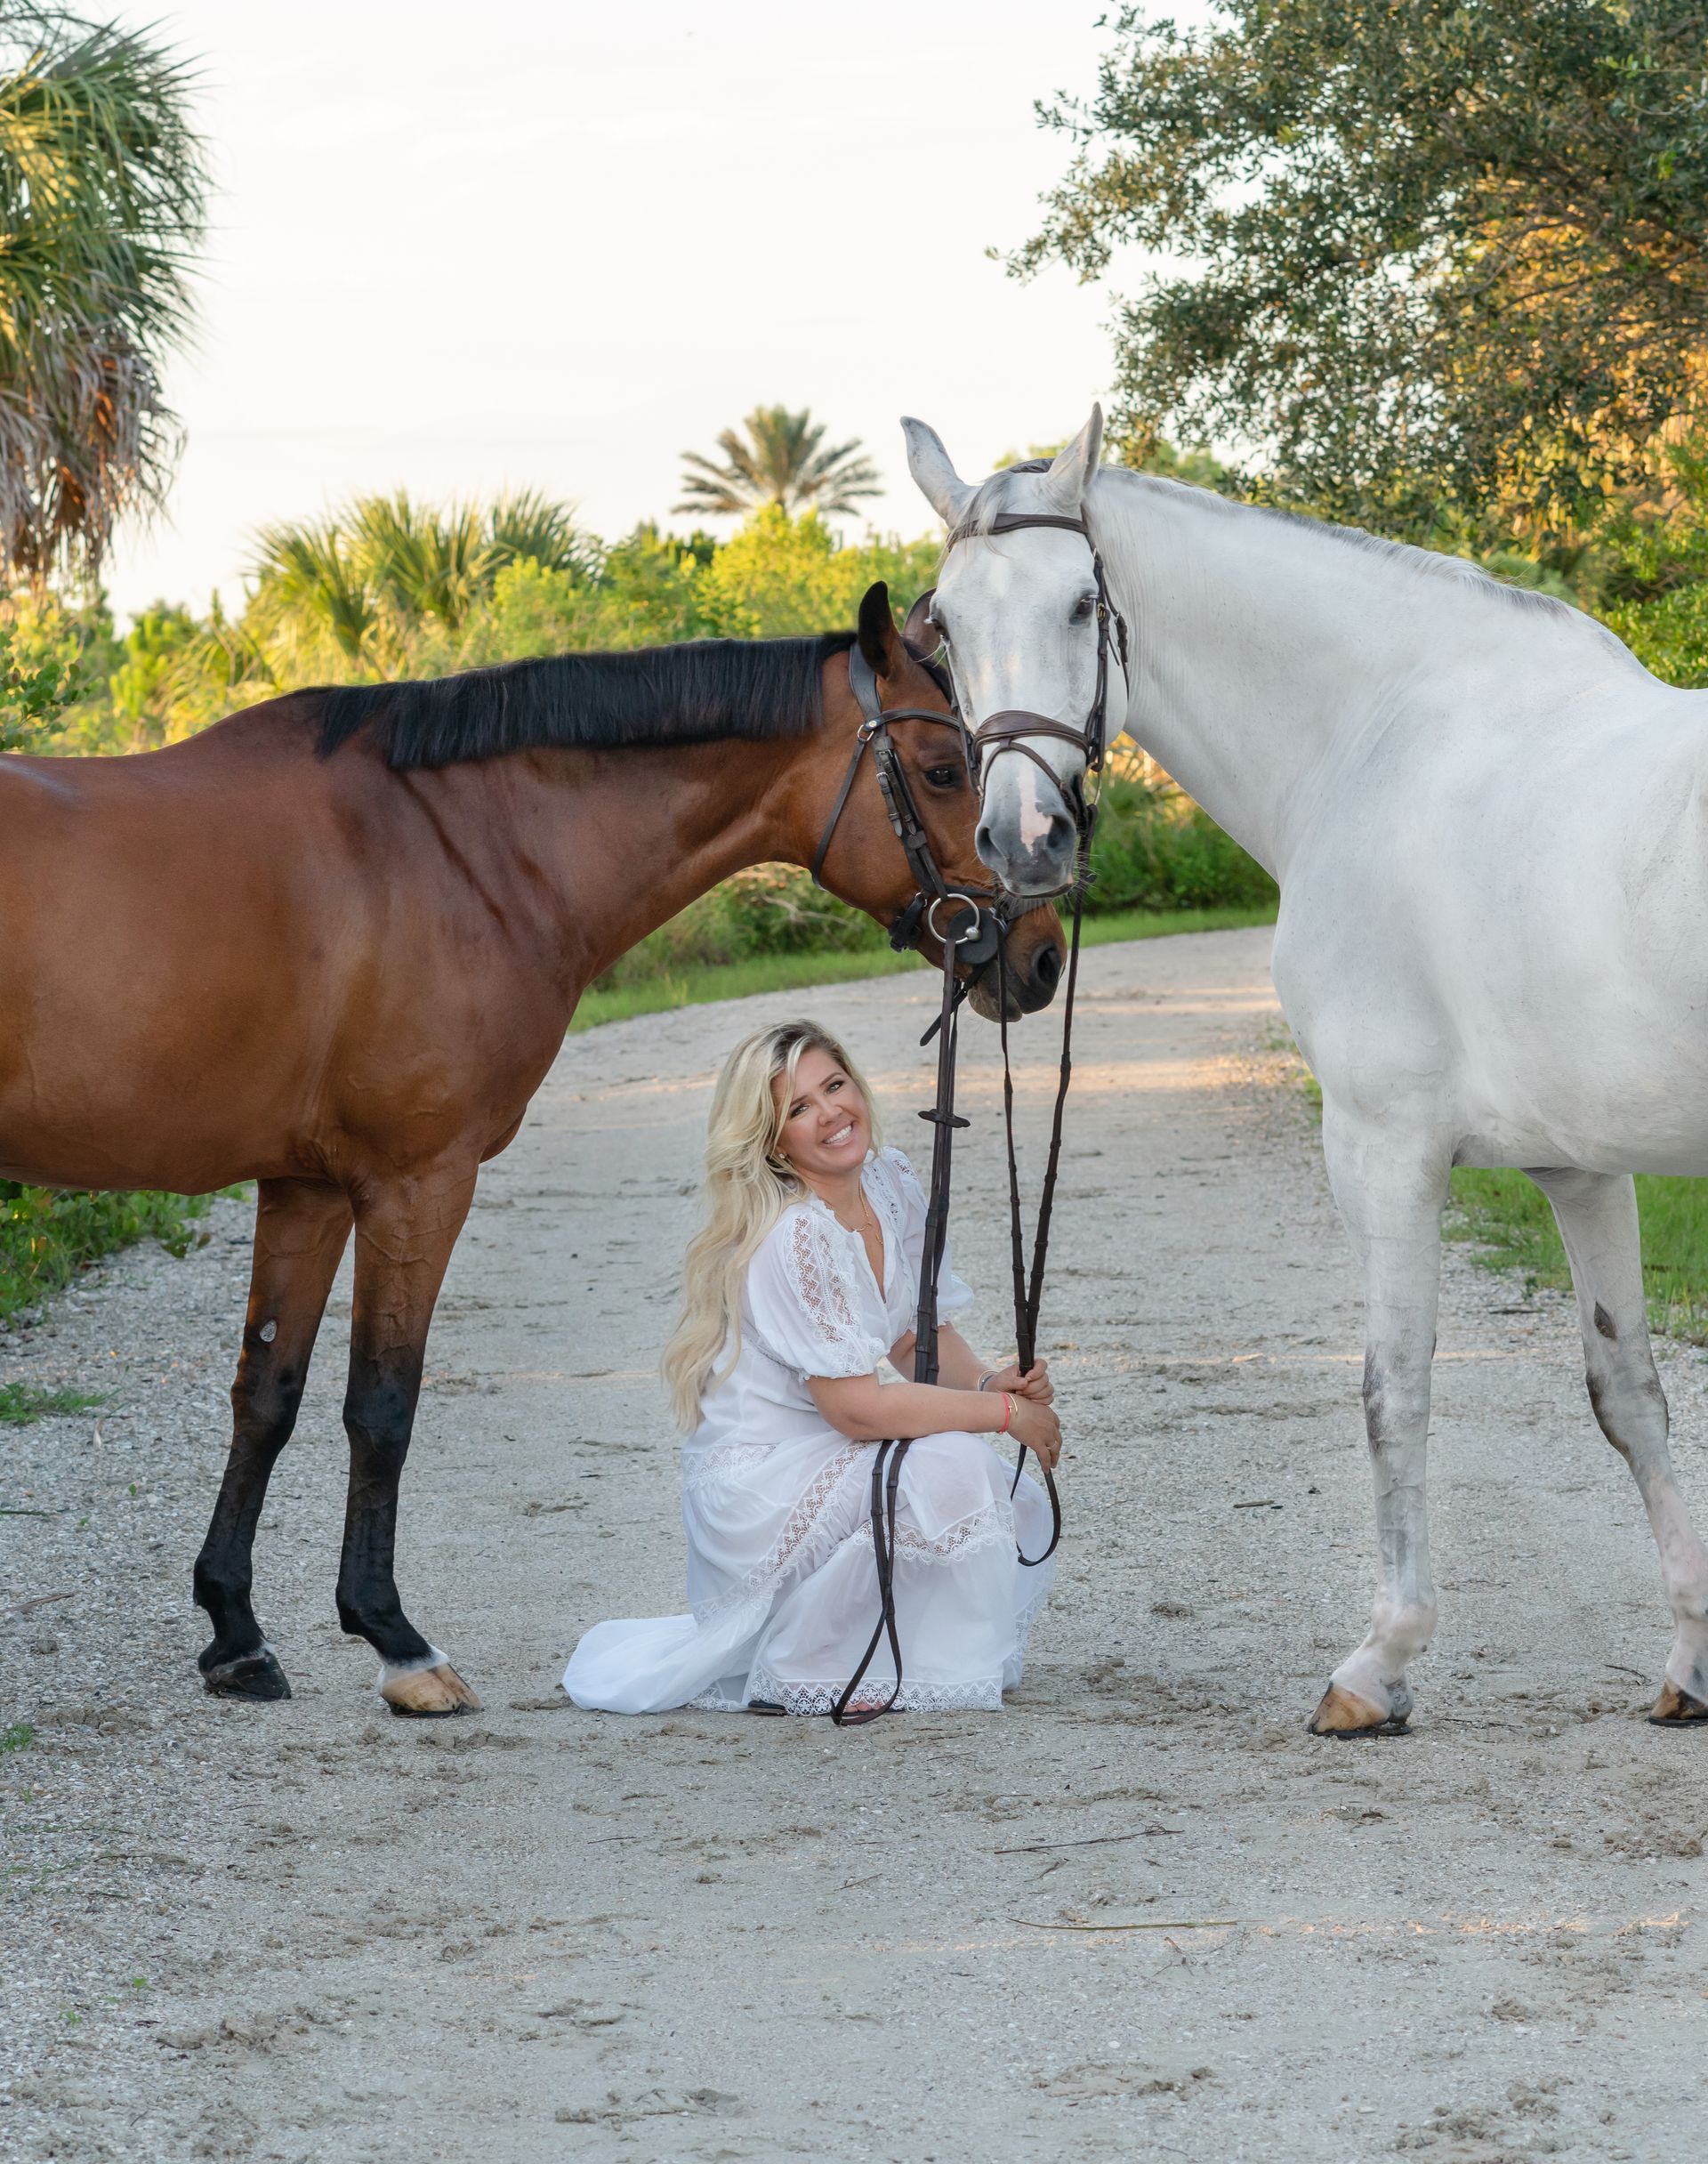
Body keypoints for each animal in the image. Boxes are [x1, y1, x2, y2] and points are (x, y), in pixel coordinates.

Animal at [0, 584, 1060, 1714]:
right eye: (942, 769)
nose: (1040, 957)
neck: (451, 849)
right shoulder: (418, 1181)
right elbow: (381, 1403)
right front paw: (396, 1640)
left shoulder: (306, 1185)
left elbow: (267, 1397)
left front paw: (235, 1633)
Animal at [900, 402, 1705, 1722]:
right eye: (947, 627)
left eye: (1082, 603)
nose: (1026, 841)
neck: (1378, 737)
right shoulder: (1581, 1165)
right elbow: (1627, 1392)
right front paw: (1689, 1656)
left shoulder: (1382, 1146)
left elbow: (1394, 1388)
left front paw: (1380, 1662)